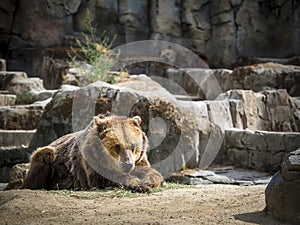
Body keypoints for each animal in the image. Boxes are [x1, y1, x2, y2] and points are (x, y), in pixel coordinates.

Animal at [22, 114, 164, 192]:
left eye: (133, 147)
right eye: (117, 146)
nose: (127, 164)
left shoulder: (140, 159)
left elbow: (152, 172)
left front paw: (148, 181)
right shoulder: (91, 161)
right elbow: (105, 178)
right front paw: (141, 186)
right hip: (49, 157)